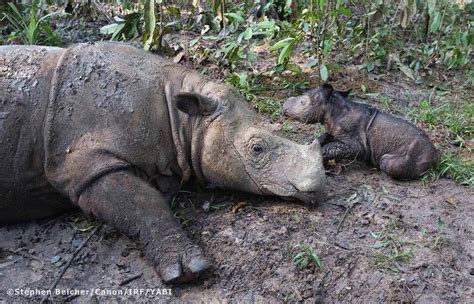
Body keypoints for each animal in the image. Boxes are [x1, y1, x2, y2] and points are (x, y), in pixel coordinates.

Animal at [0, 42, 326, 282]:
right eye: (257, 149)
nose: (317, 184)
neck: (182, 119)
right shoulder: (85, 166)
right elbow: (143, 202)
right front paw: (189, 270)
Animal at [284, 84, 438, 179]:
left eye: (302, 103)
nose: (284, 107)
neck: (332, 108)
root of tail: (436, 158)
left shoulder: (358, 145)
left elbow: (332, 147)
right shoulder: (335, 131)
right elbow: (324, 138)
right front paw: (309, 145)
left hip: (416, 154)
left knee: (387, 162)